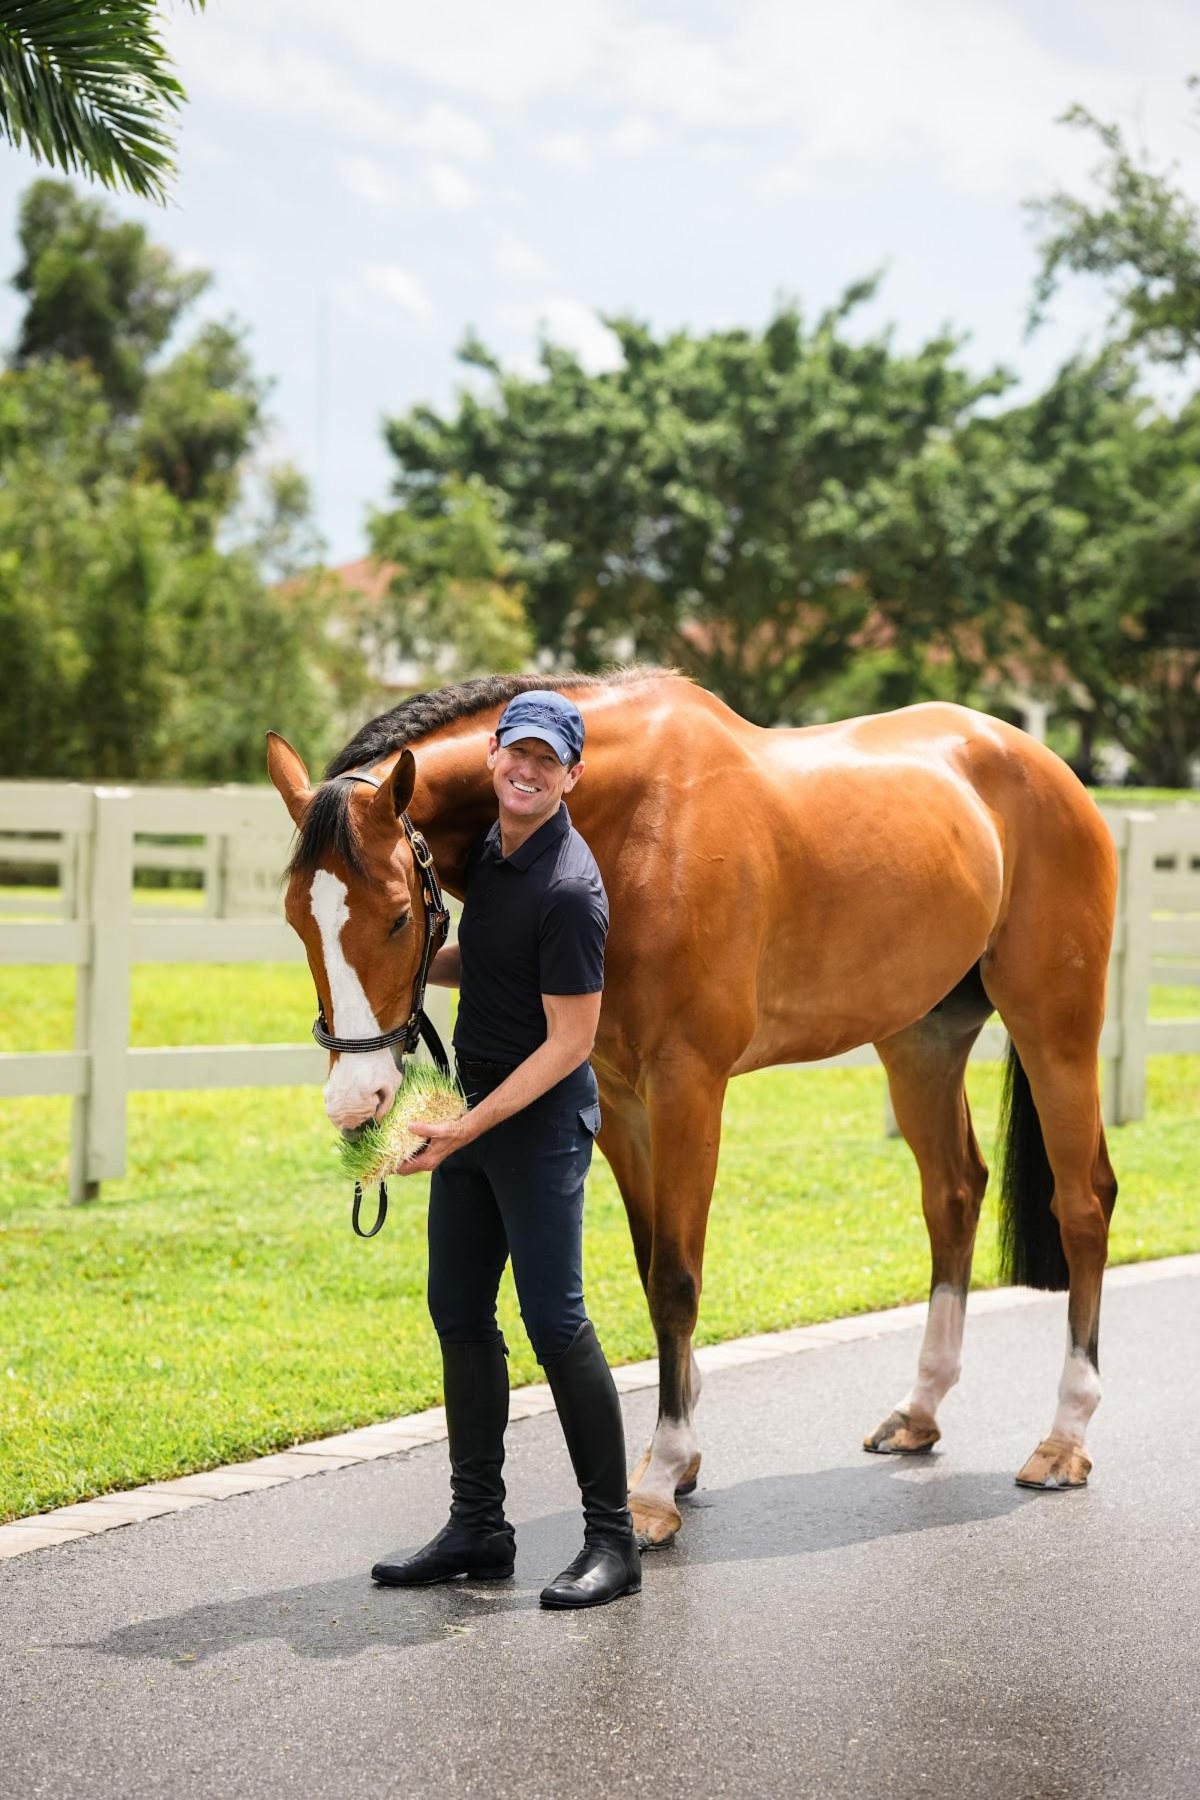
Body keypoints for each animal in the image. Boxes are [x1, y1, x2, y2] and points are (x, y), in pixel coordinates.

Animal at [268, 668, 1118, 1547]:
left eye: (399, 915)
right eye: (297, 917)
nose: (357, 1098)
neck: (630, 827)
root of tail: (1048, 769)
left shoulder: (688, 1086)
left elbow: (677, 1276)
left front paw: (657, 1484)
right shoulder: (618, 1096)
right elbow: (651, 1266)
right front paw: (673, 1460)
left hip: (1055, 1027)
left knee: (1084, 1204)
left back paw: (1064, 1438)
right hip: (921, 1039)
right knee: (952, 1193)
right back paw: (919, 1411)